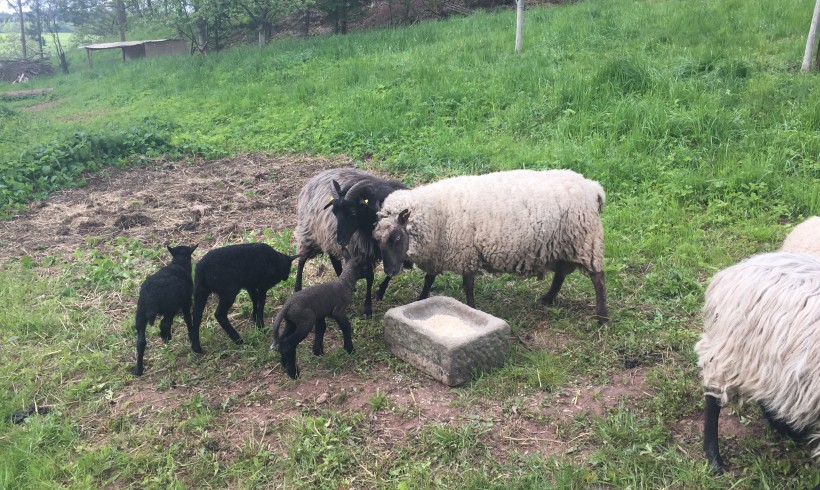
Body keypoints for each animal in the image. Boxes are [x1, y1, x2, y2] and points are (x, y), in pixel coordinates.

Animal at [135, 244, 199, 376]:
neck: (179, 264)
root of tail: (151, 296)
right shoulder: (186, 301)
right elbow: (187, 318)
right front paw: (191, 332)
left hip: (140, 313)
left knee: (141, 341)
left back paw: (139, 369)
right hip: (171, 306)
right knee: (164, 324)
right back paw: (166, 337)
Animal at [374, 169, 604, 326]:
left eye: (396, 237)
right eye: (378, 241)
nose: (390, 271)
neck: (437, 215)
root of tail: (593, 187)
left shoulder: (465, 253)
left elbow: (467, 285)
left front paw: (472, 308)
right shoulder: (438, 253)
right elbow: (429, 279)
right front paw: (420, 300)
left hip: (586, 242)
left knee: (598, 279)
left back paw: (602, 318)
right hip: (562, 245)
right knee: (561, 274)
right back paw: (547, 299)